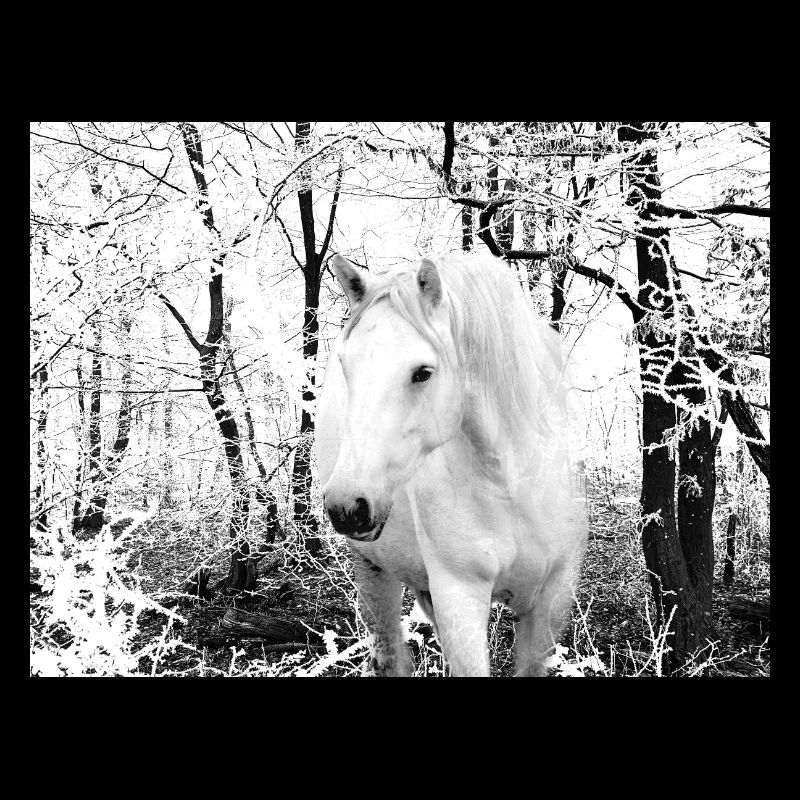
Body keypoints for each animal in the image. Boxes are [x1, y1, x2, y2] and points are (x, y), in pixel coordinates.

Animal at [315, 253, 588, 676]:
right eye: (346, 364)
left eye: (423, 372)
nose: (347, 505)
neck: (510, 485)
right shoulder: (460, 596)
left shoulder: (553, 599)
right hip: (372, 569)